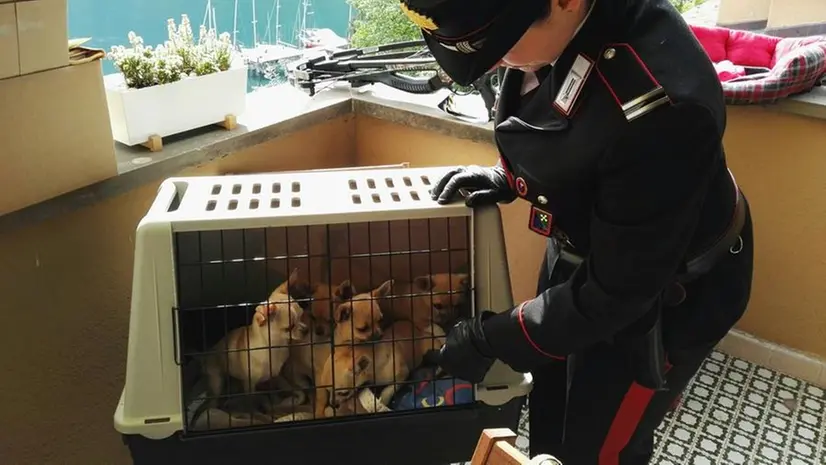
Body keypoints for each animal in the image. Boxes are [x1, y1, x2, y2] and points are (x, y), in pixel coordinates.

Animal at [202, 268, 308, 402]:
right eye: (289, 328)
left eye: (302, 316)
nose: (306, 329)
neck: (275, 347)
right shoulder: (250, 385)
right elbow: (253, 398)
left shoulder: (274, 377)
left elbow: (274, 393)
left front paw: (276, 401)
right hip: (217, 382)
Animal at [316, 320, 444, 416]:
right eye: (327, 390)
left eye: (344, 393)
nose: (333, 404)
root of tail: (419, 331)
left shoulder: (401, 374)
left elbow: (389, 390)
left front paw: (383, 401)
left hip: (430, 346)